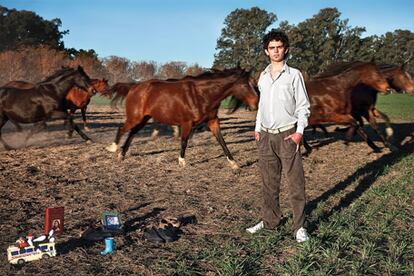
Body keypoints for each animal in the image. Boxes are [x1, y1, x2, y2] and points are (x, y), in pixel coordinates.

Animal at [105, 68, 258, 169]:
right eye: (245, 85)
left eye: (254, 84)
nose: (256, 103)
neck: (201, 94)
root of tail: (134, 87)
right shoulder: (187, 123)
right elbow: (184, 141)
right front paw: (182, 161)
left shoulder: (213, 121)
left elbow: (222, 141)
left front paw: (234, 163)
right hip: (135, 117)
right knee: (122, 129)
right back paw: (113, 148)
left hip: (143, 118)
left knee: (132, 133)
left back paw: (122, 154)